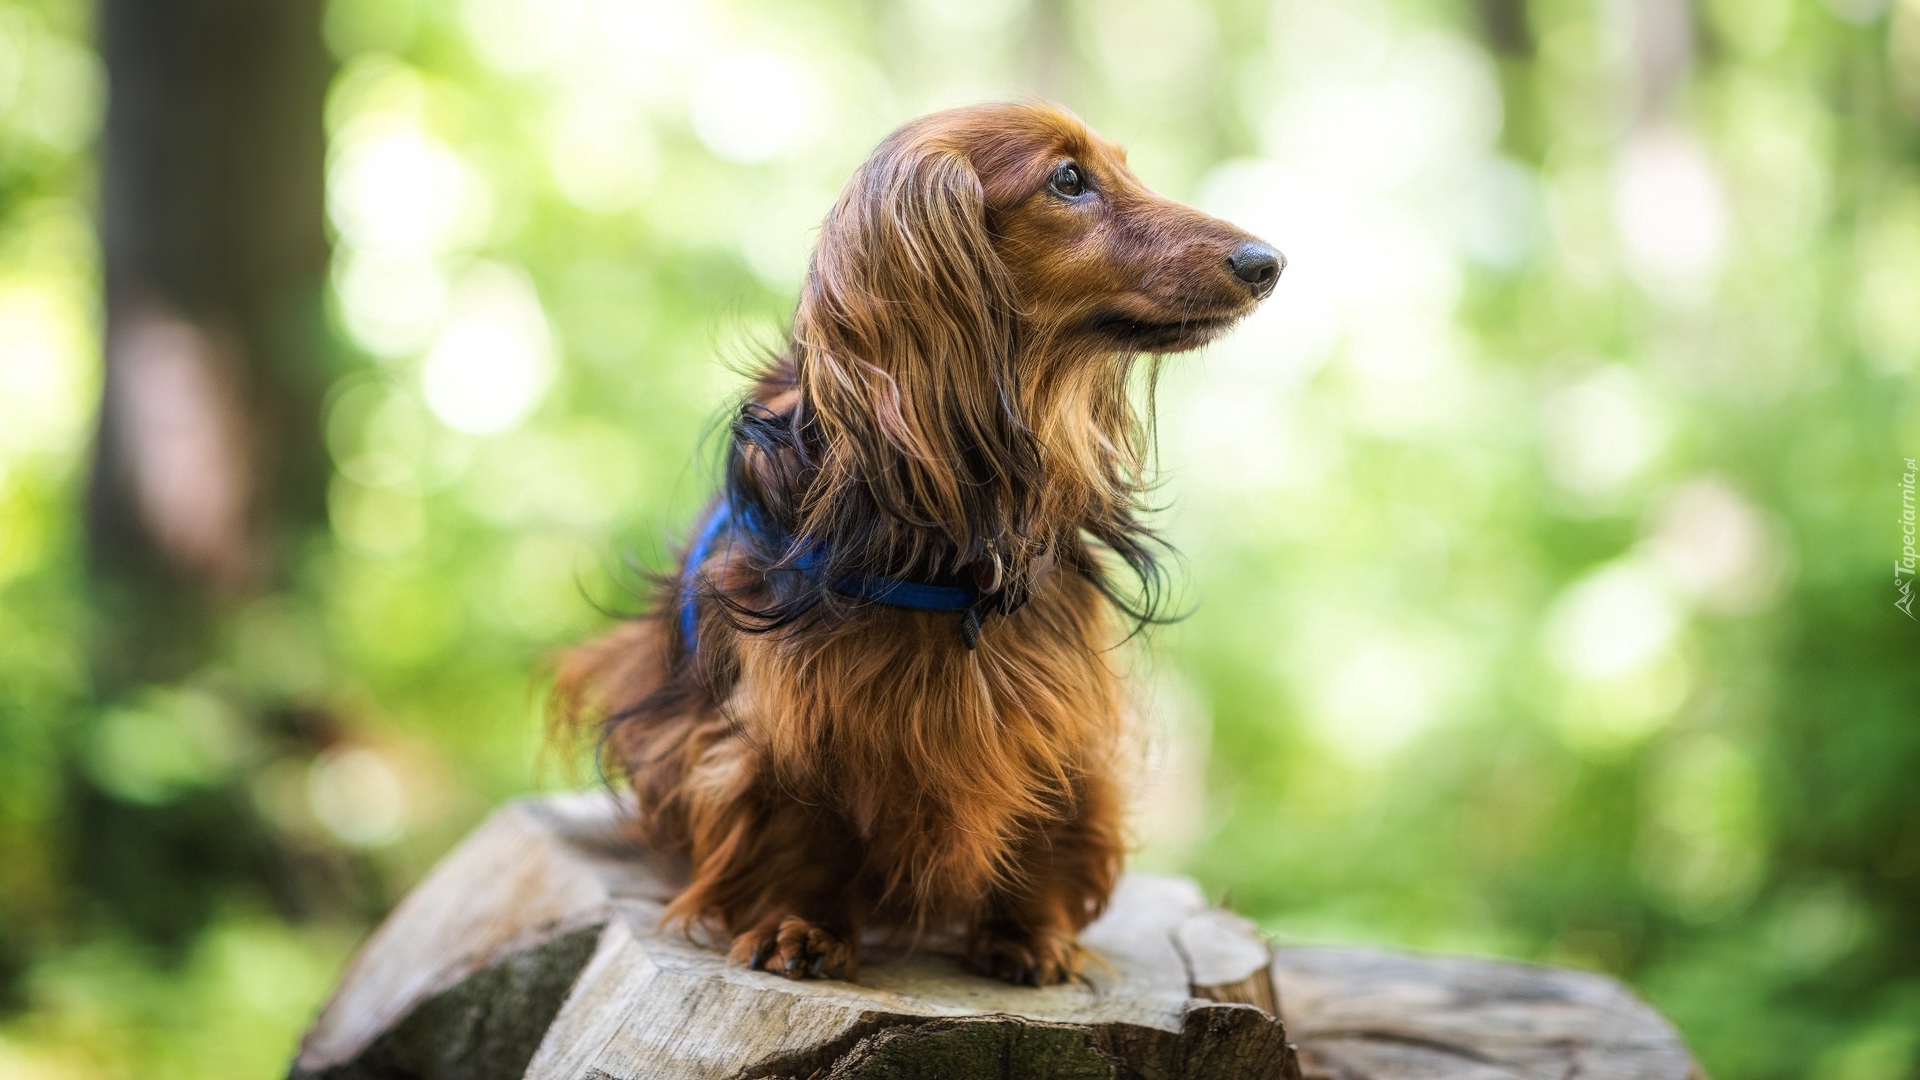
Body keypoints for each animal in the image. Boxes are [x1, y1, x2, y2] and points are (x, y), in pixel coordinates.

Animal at [552, 102, 1274, 983]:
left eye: (1124, 168)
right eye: (1068, 179)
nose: (1267, 261)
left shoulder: (1053, 700)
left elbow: (1046, 806)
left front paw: (1029, 932)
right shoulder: (781, 713)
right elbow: (800, 816)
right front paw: (801, 921)